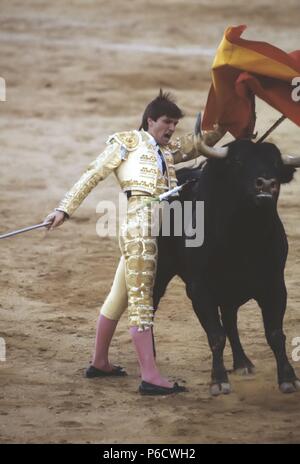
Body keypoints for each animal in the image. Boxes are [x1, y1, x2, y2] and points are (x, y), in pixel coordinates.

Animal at [154, 139, 300, 396]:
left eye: (275, 163)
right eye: (238, 161)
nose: (266, 183)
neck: (243, 236)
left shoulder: (275, 286)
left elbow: (274, 334)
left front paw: (288, 378)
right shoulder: (199, 290)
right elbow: (216, 335)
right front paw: (218, 380)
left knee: (231, 320)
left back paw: (242, 362)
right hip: (160, 268)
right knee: (151, 301)